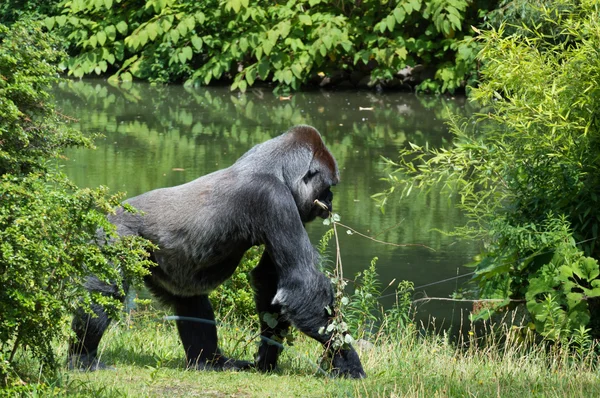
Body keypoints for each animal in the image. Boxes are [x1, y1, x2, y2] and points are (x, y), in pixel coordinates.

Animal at [69, 125, 366, 380]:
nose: (330, 202)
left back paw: (207, 361)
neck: (273, 167)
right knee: (105, 293)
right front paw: (347, 362)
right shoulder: (274, 198)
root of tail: (109, 212)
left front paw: (266, 357)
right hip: (116, 236)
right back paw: (82, 358)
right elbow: (300, 284)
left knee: (189, 299)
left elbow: (270, 281)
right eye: (328, 187)